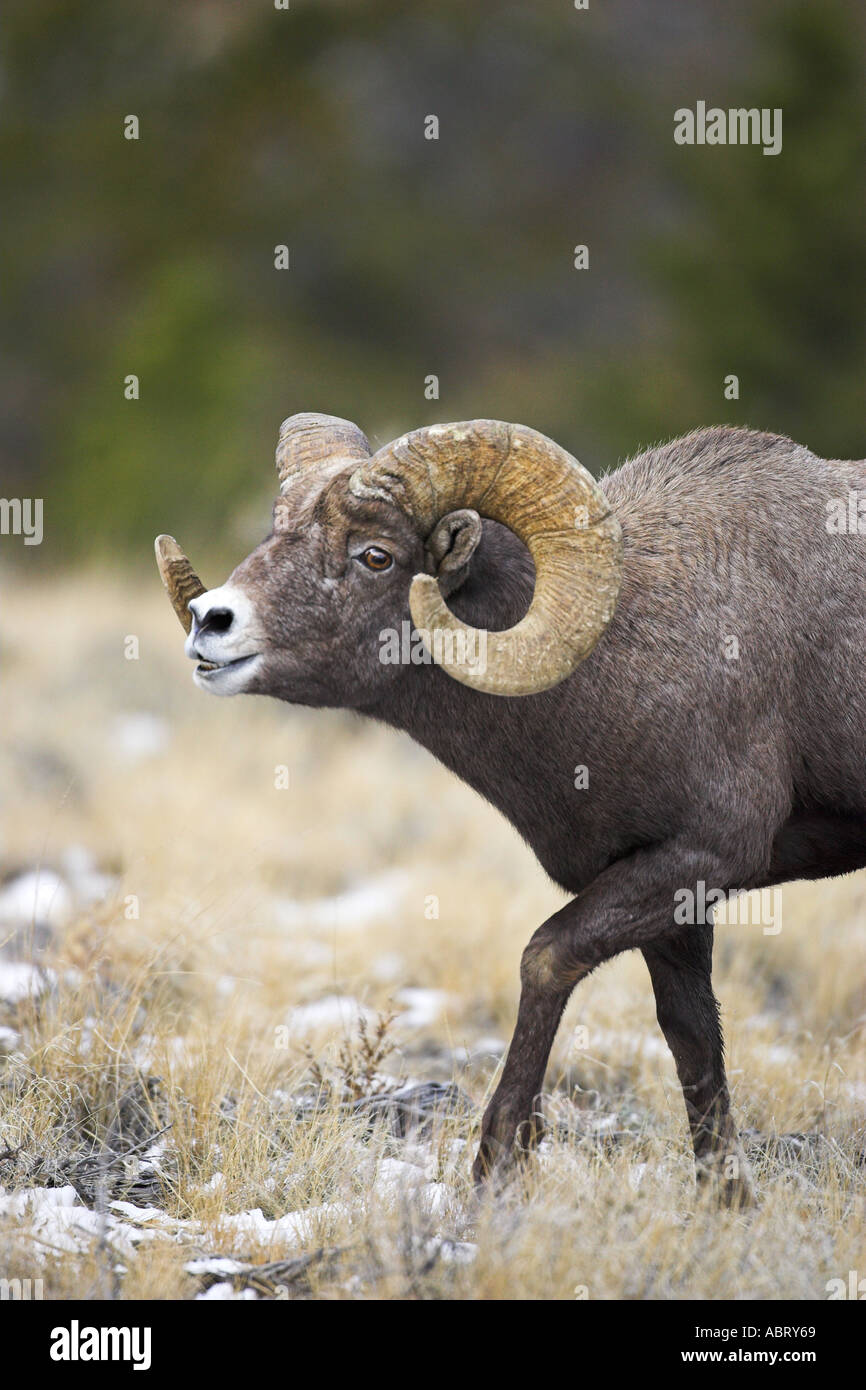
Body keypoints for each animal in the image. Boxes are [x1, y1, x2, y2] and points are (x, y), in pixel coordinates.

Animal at [156, 413, 866, 1204]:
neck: (627, 659)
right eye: (275, 532)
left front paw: (496, 1168)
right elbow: (692, 1042)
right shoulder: (677, 901)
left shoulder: (699, 860)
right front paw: (727, 1205)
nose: (211, 621)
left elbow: (546, 960)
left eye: (376, 555)